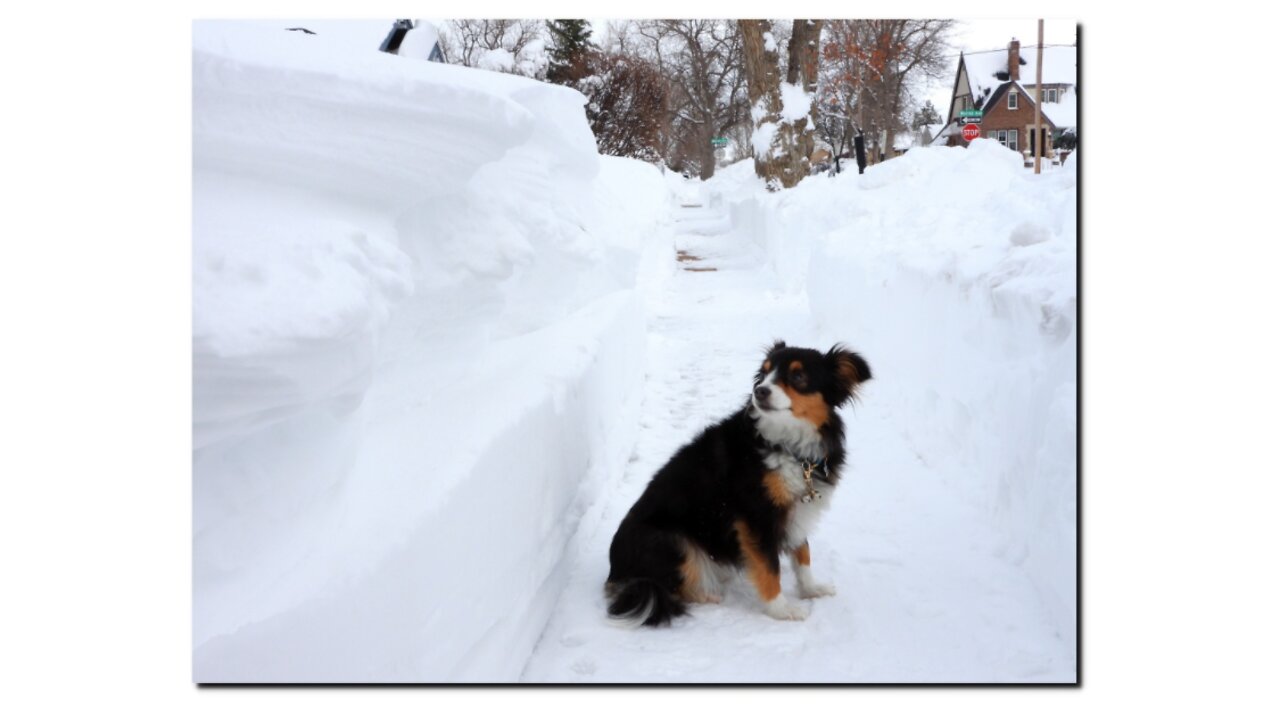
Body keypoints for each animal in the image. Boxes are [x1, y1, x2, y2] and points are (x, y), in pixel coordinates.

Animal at [601, 340, 870, 626]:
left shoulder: (797, 508)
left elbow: (803, 554)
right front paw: (782, 609)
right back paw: (707, 594)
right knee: (669, 588)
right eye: (764, 373)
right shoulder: (756, 514)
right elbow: (770, 567)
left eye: (798, 376)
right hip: (671, 540)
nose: (759, 391)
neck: (787, 446)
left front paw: (811, 589)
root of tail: (615, 574)